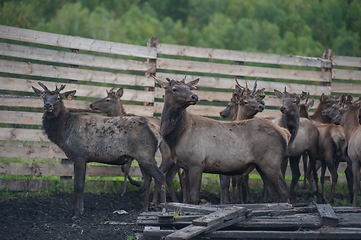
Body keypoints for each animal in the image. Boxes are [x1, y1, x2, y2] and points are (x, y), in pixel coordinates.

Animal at [32, 81, 165, 218]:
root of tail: (157, 131)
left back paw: (162, 208)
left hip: (145, 155)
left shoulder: (80, 155)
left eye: (58, 98)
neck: (64, 131)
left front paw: (77, 213)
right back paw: (145, 209)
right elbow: (77, 184)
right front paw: (78, 209)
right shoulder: (79, 158)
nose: (48, 105)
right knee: (148, 179)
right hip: (141, 157)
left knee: (160, 176)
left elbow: (79, 185)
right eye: (44, 97)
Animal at [153, 75, 288, 204]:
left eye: (188, 87)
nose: (194, 96)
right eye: (174, 89)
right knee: (275, 193)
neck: (177, 135)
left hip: (271, 163)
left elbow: (194, 198)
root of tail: (284, 133)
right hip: (262, 166)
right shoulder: (186, 166)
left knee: (283, 190)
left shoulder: (196, 163)